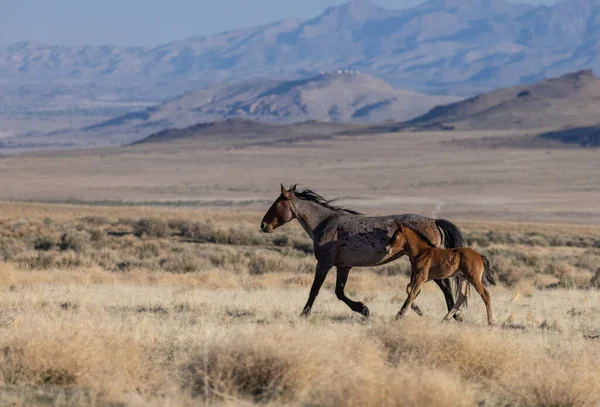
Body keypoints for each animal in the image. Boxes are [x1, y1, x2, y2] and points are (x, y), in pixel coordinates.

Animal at [260, 186, 466, 322]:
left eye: (277, 204)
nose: (263, 225)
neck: (324, 223)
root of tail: (434, 221)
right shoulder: (344, 266)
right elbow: (339, 292)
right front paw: (363, 309)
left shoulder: (324, 264)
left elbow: (315, 289)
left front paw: (304, 314)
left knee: (444, 286)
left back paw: (453, 315)